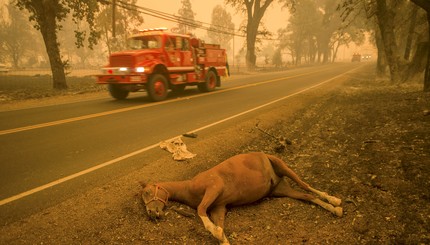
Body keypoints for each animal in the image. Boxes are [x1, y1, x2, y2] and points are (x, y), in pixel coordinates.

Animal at [139, 152, 340, 244]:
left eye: (148, 192)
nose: (151, 213)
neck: (190, 187)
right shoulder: (219, 208)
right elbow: (220, 231)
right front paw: (219, 233)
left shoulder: (214, 188)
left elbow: (200, 210)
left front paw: (213, 230)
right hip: (282, 190)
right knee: (306, 195)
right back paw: (335, 209)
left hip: (283, 167)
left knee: (306, 186)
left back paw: (335, 201)